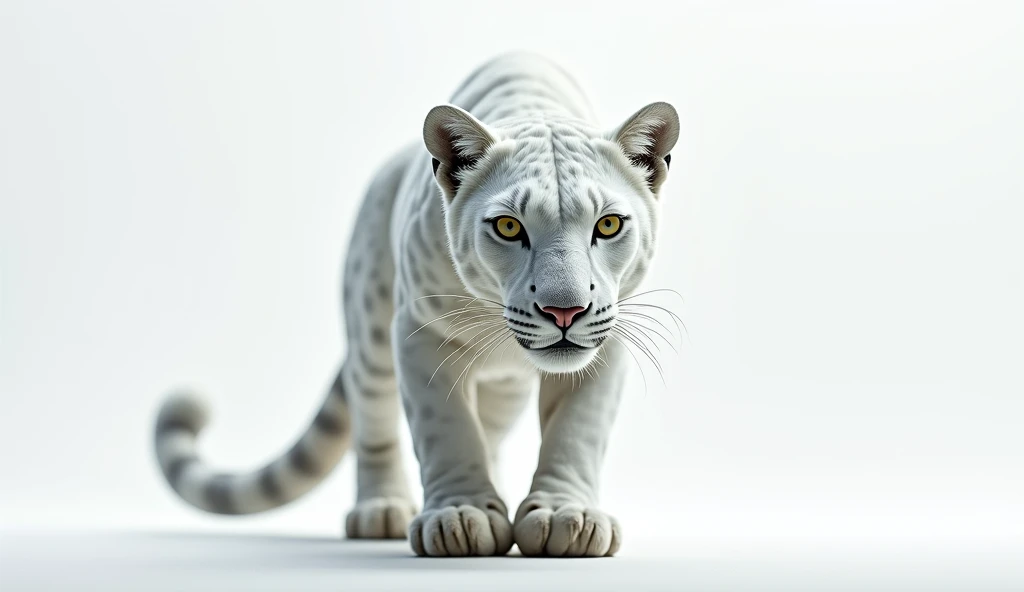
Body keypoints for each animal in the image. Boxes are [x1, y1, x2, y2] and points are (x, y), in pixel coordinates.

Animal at [153, 49, 679, 553]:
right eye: (509, 227)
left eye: (607, 225)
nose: (564, 310)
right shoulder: (421, 332)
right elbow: (446, 427)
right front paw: (461, 517)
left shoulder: (605, 341)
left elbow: (576, 431)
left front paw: (563, 516)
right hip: (370, 336)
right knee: (375, 428)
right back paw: (381, 511)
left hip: (501, 387)